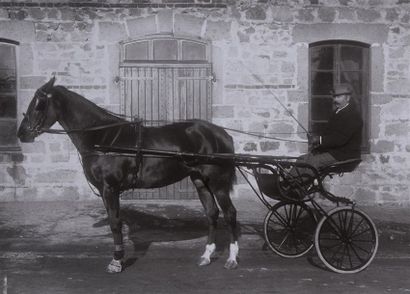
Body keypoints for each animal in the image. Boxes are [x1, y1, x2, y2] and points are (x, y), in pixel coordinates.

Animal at [17, 77, 239, 274]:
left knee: (230, 213)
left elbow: (115, 223)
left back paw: (232, 259)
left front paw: (116, 262)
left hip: (218, 183)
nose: (22, 133)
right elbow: (114, 220)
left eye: (39, 104)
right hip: (200, 181)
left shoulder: (110, 188)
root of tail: (222, 134)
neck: (102, 139)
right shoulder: (104, 190)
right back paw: (206, 256)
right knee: (212, 213)